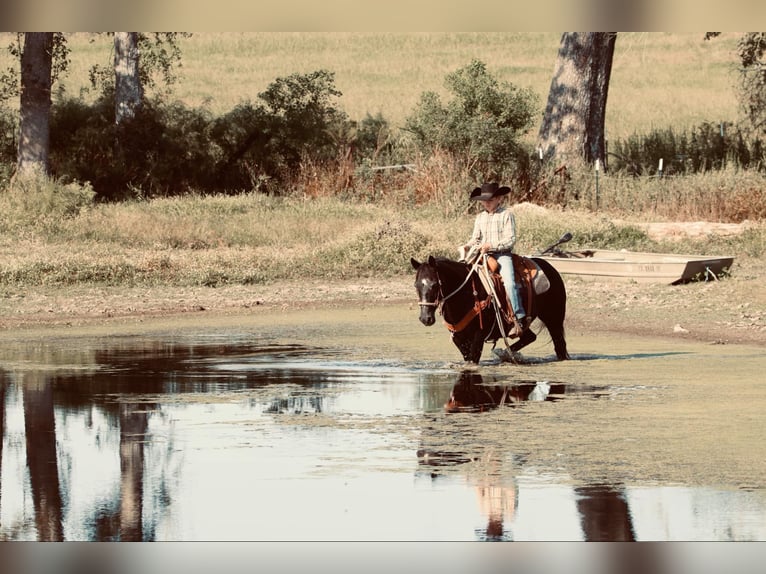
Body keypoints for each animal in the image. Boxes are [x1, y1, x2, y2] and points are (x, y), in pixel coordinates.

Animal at [414, 256, 568, 364]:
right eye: (416, 285)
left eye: (434, 284)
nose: (425, 318)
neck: (466, 294)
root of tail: (550, 268)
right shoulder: (459, 337)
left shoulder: (479, 335)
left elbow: (473, 358)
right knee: (530, 337)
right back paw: (505, 355)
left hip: (554, 319)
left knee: (560, 346)